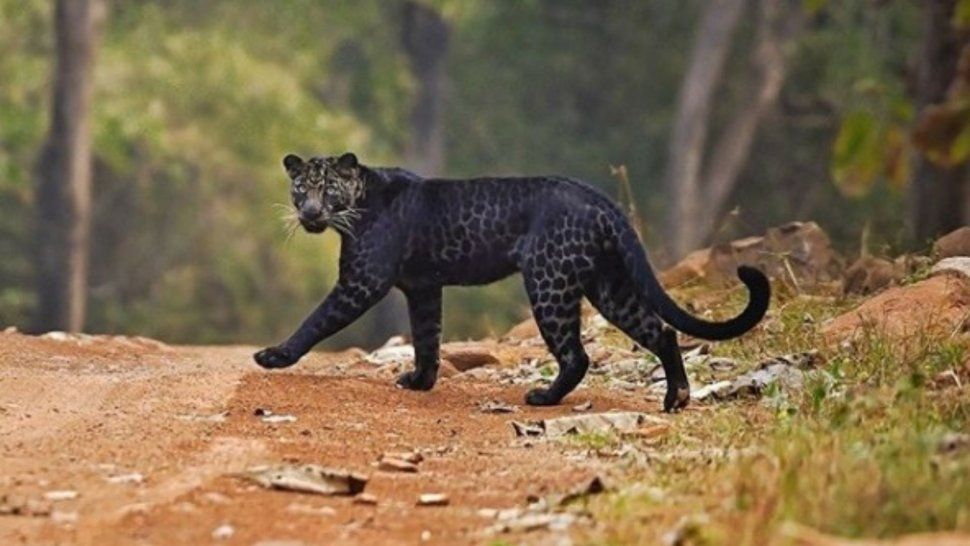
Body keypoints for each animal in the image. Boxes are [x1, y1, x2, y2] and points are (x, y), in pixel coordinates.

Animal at [254, 152, 770, 411]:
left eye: (328, 190)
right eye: (300, 189)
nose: (309, 213)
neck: (356, 206)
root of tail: (598, 197)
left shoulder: (361, 281)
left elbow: (316, 320)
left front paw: (275, 356)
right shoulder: (423, 288)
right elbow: (426, 338)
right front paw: (420, 381)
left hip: (550, 282)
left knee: (577, 354)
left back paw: (543, 398)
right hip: (608, 285)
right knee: (660, 330)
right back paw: (675, 398)